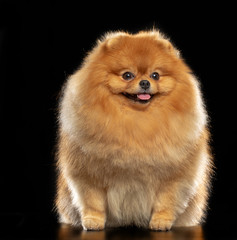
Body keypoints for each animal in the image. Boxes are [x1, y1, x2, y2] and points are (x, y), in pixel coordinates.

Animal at [55, 29, 213, 231]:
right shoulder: (88, 174)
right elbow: (93, 201)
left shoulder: (174, 177)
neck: (137, 120)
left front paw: (161, 221)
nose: (145, 82)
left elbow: (166, 201)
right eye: (127, 75)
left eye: (155, 75)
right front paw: (92, 221)